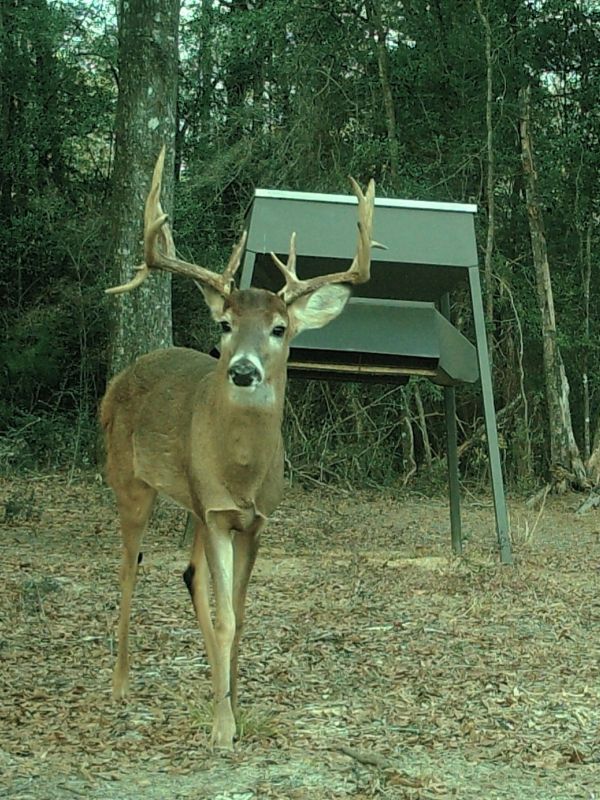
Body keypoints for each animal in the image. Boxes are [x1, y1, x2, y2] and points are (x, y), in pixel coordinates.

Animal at [100, 147, 375, 749]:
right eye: (225, 323)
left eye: (279, 328)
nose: (243, 370)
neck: (243, 473)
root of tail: (121, 376)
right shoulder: (218, 511)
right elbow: (227, 614)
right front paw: (223, 728)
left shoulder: (251, 519)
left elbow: (240, 614)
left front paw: (235, 705)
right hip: (129, 480)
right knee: (129, 568)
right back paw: (121, 684)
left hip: (193, 504)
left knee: (191, 576)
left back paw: (210, 689)